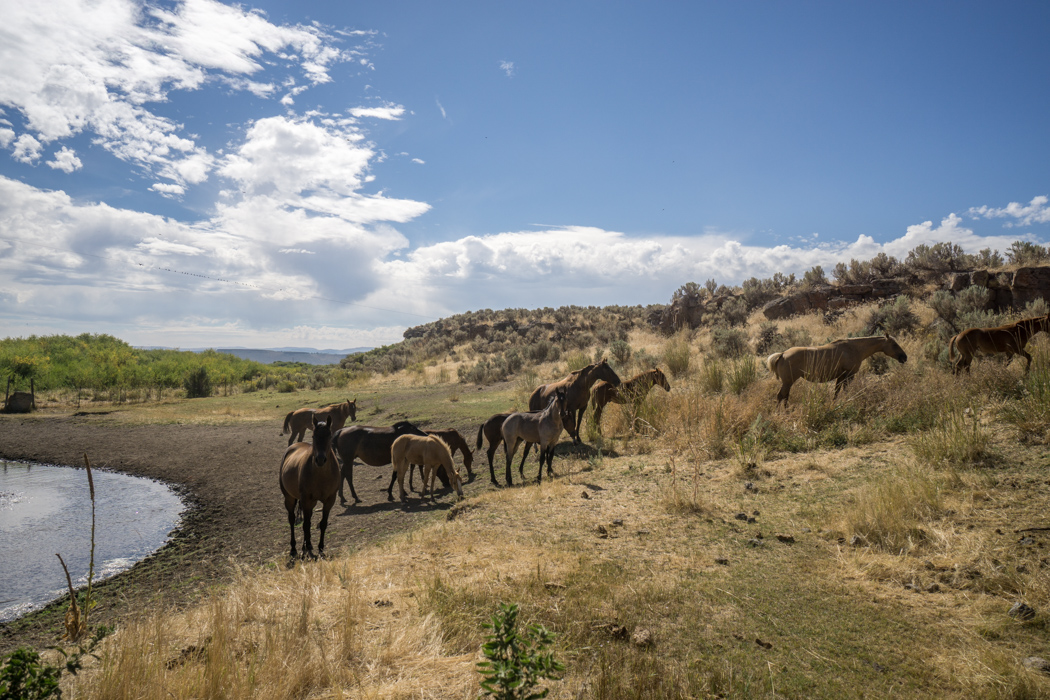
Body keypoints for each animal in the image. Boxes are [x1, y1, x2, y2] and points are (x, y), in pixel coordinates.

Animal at [279, 415, 340, 558]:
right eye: (313, 436)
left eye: (329, 435)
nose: (320, 459)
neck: (321, 475)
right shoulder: (306, 499)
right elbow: (306, 525)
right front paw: (306, 549)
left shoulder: (330, 500)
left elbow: (322, 524)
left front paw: (320, 548)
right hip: (290, 498)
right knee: (292, 519)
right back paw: (294, 548)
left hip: (310, 503)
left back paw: (307, 545)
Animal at [764, 333, 911, 405]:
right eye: (894, 344)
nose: (904, 357)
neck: (853, 348)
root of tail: (782, 354)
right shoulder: (849, 375)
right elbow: (845, 391)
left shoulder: (840, 377)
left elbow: (836, 392)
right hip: (788, 382)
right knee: (780, 396)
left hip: (788, 383)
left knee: (785, 397)